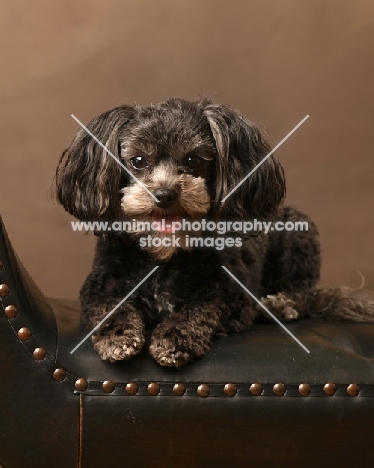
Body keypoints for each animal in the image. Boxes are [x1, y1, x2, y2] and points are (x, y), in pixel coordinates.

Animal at [54, 98, 374, 368]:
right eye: (138, 160)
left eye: (194, 160)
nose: (164, 194)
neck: (165, 255)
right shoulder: (97, 286)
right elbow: (107, 306)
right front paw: (117, 336)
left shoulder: (234, 298)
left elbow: (202, 308)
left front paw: (175, 336)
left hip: (297, 236)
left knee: (305, 293)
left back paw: (282, 304)